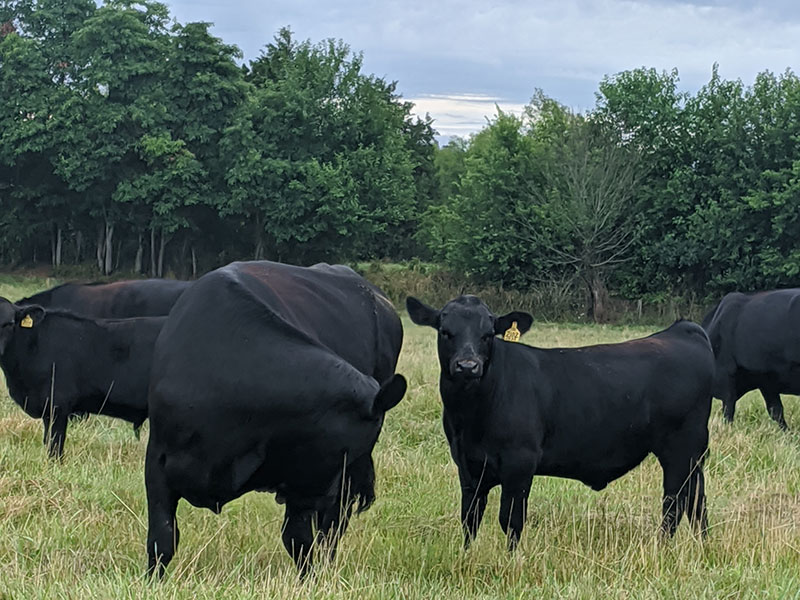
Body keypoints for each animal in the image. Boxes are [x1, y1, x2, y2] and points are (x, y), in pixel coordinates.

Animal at [145, 258, 406, 576]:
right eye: (340, 448)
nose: (328, 496)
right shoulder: (157, 461)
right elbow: (162, 537)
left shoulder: (301, 483)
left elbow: (299, 539)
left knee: (332, 527)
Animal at [406, 294, 712, 548]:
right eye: (445, 332)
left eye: (488, 334)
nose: (468, 366)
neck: (470, 417)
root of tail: (683, 330)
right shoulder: (468, 466)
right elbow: (470, 519)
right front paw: (466, 556)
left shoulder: (520, 463)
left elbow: (511, 521)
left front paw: (511, 561)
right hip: (692, 456)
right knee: (697, 499)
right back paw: (703, 545)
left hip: (680, 448)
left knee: (674, 502)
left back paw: (663, 549)